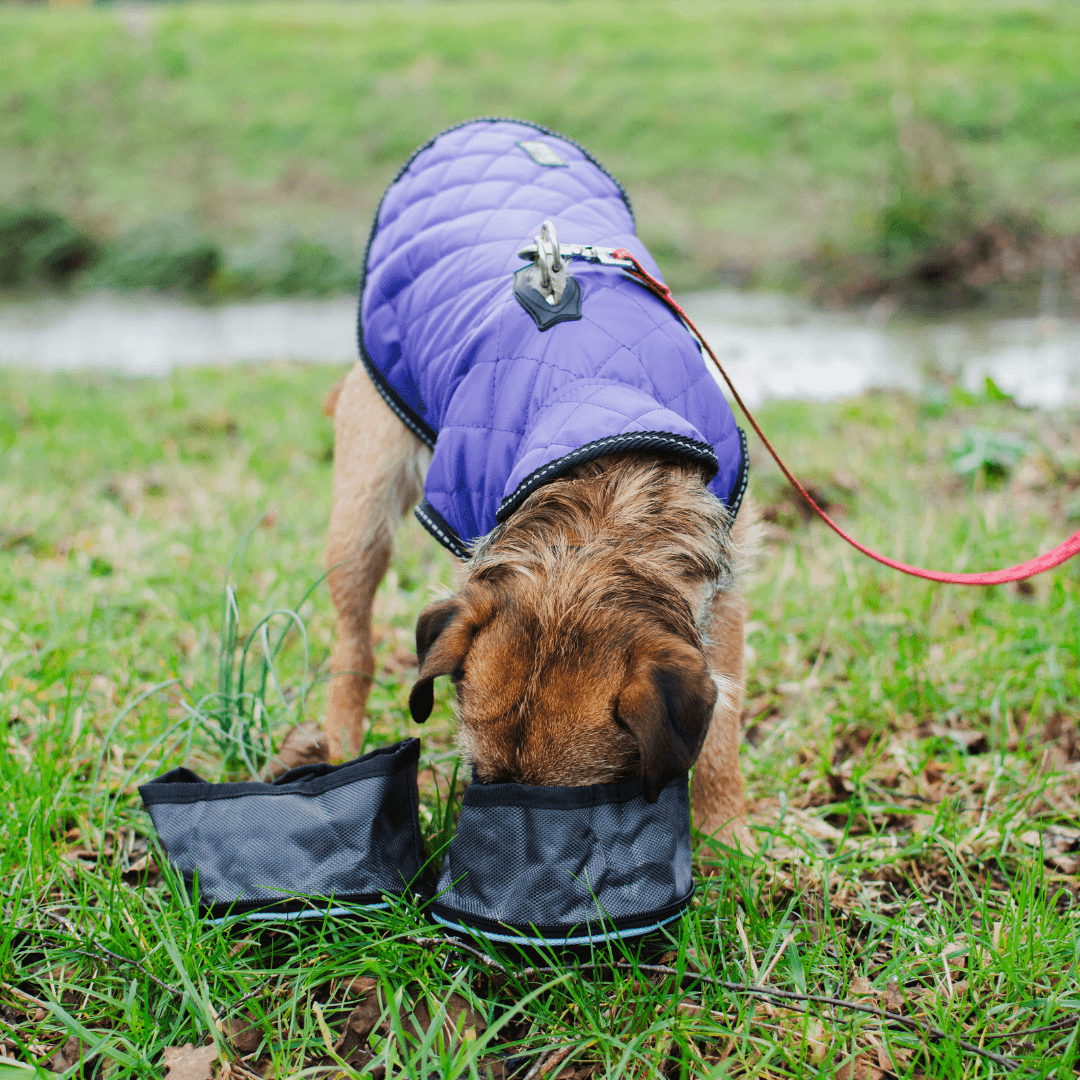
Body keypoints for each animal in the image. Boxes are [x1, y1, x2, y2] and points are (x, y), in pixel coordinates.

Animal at [321, 367, 751, 846]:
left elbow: (721, 733)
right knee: (354, 645)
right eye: (479, 776)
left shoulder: (726, 592)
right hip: (363, 515)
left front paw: (725, 835)